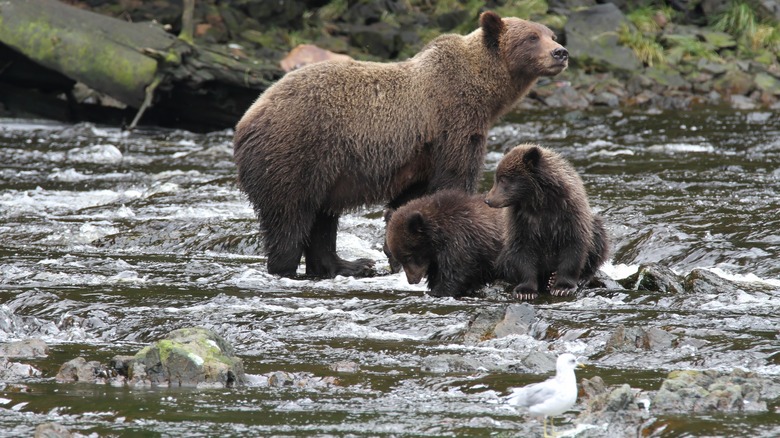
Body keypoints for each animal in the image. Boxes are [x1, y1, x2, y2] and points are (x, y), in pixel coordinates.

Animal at [232, 12, 568, 278]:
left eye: (550, 35)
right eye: (531, 37)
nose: (561, 52)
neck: (484, 96)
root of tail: (246, 119)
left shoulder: (420, 155)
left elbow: (409, 199)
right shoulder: (453, 124)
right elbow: (455, 178)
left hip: (326, 170)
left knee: (322, 217)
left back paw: (349, 265)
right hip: (296, 152)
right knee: (290, 217)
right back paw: (288, 268)